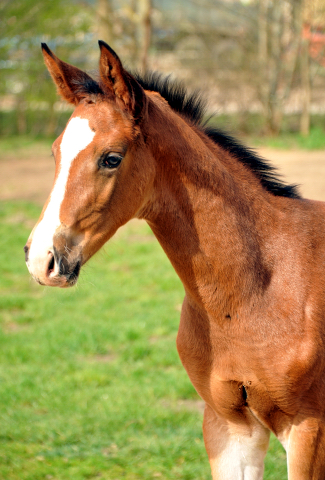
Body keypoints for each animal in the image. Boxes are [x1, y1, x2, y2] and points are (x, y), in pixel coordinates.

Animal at [24, 42, 324, 480]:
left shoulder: (308, 430)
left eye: (111, 158)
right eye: (54, 152)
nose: (42, 259)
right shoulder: (228, 426)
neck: (256, 292)